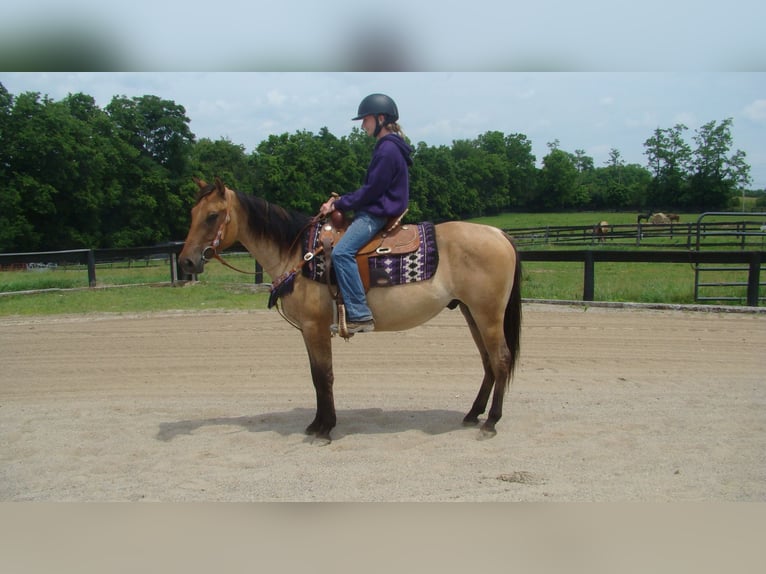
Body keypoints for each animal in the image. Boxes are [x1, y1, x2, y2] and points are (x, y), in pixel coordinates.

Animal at [178, 178, 522, 441]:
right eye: (193, 212)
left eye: (212, 215)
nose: (187, 262)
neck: (298, 254)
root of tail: (498, 233)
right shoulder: (309, 330)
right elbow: (316, 376)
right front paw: (317, 424)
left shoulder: (315, 327)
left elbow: (324, 376)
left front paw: (324, 429)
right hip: (470, 312)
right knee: (488, 362)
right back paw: (473, 414)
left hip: (488, 314)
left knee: (501, 359)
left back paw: (491, 422)